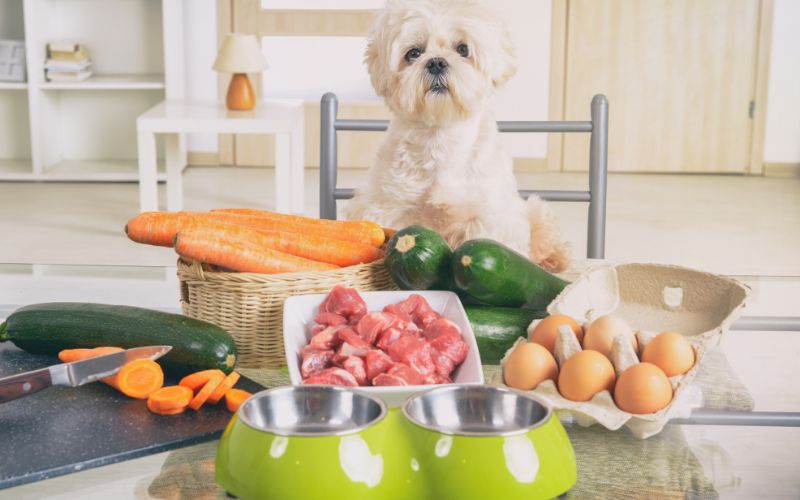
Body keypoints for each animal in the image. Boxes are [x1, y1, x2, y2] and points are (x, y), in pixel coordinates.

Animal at [348, 0, 568, 274]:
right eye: (413, 53)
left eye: (463, 49)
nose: (436, 62)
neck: (441, 136)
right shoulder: (389, 207)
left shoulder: (487, 215)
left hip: (535, 210)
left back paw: (553, 259)